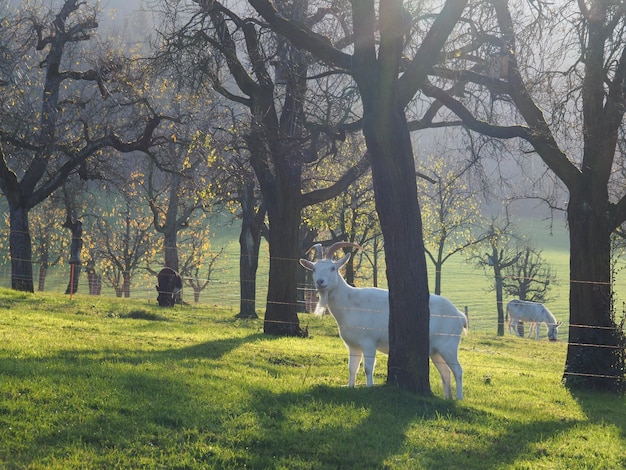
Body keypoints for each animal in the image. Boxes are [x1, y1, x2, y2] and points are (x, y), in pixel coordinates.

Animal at [300, 242, 466, 400]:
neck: (351, 304)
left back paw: (458, 398)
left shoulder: (368, 341)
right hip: (436, 351)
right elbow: (352, 367)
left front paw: (369, 387)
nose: (320, 281)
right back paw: (447, 397)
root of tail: (460, 316)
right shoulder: (353, 345)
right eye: (314, 269)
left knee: (457, 369)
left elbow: (368, 368)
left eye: (332, 268)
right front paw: (350, 386)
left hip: (448, 345)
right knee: (445, 372)